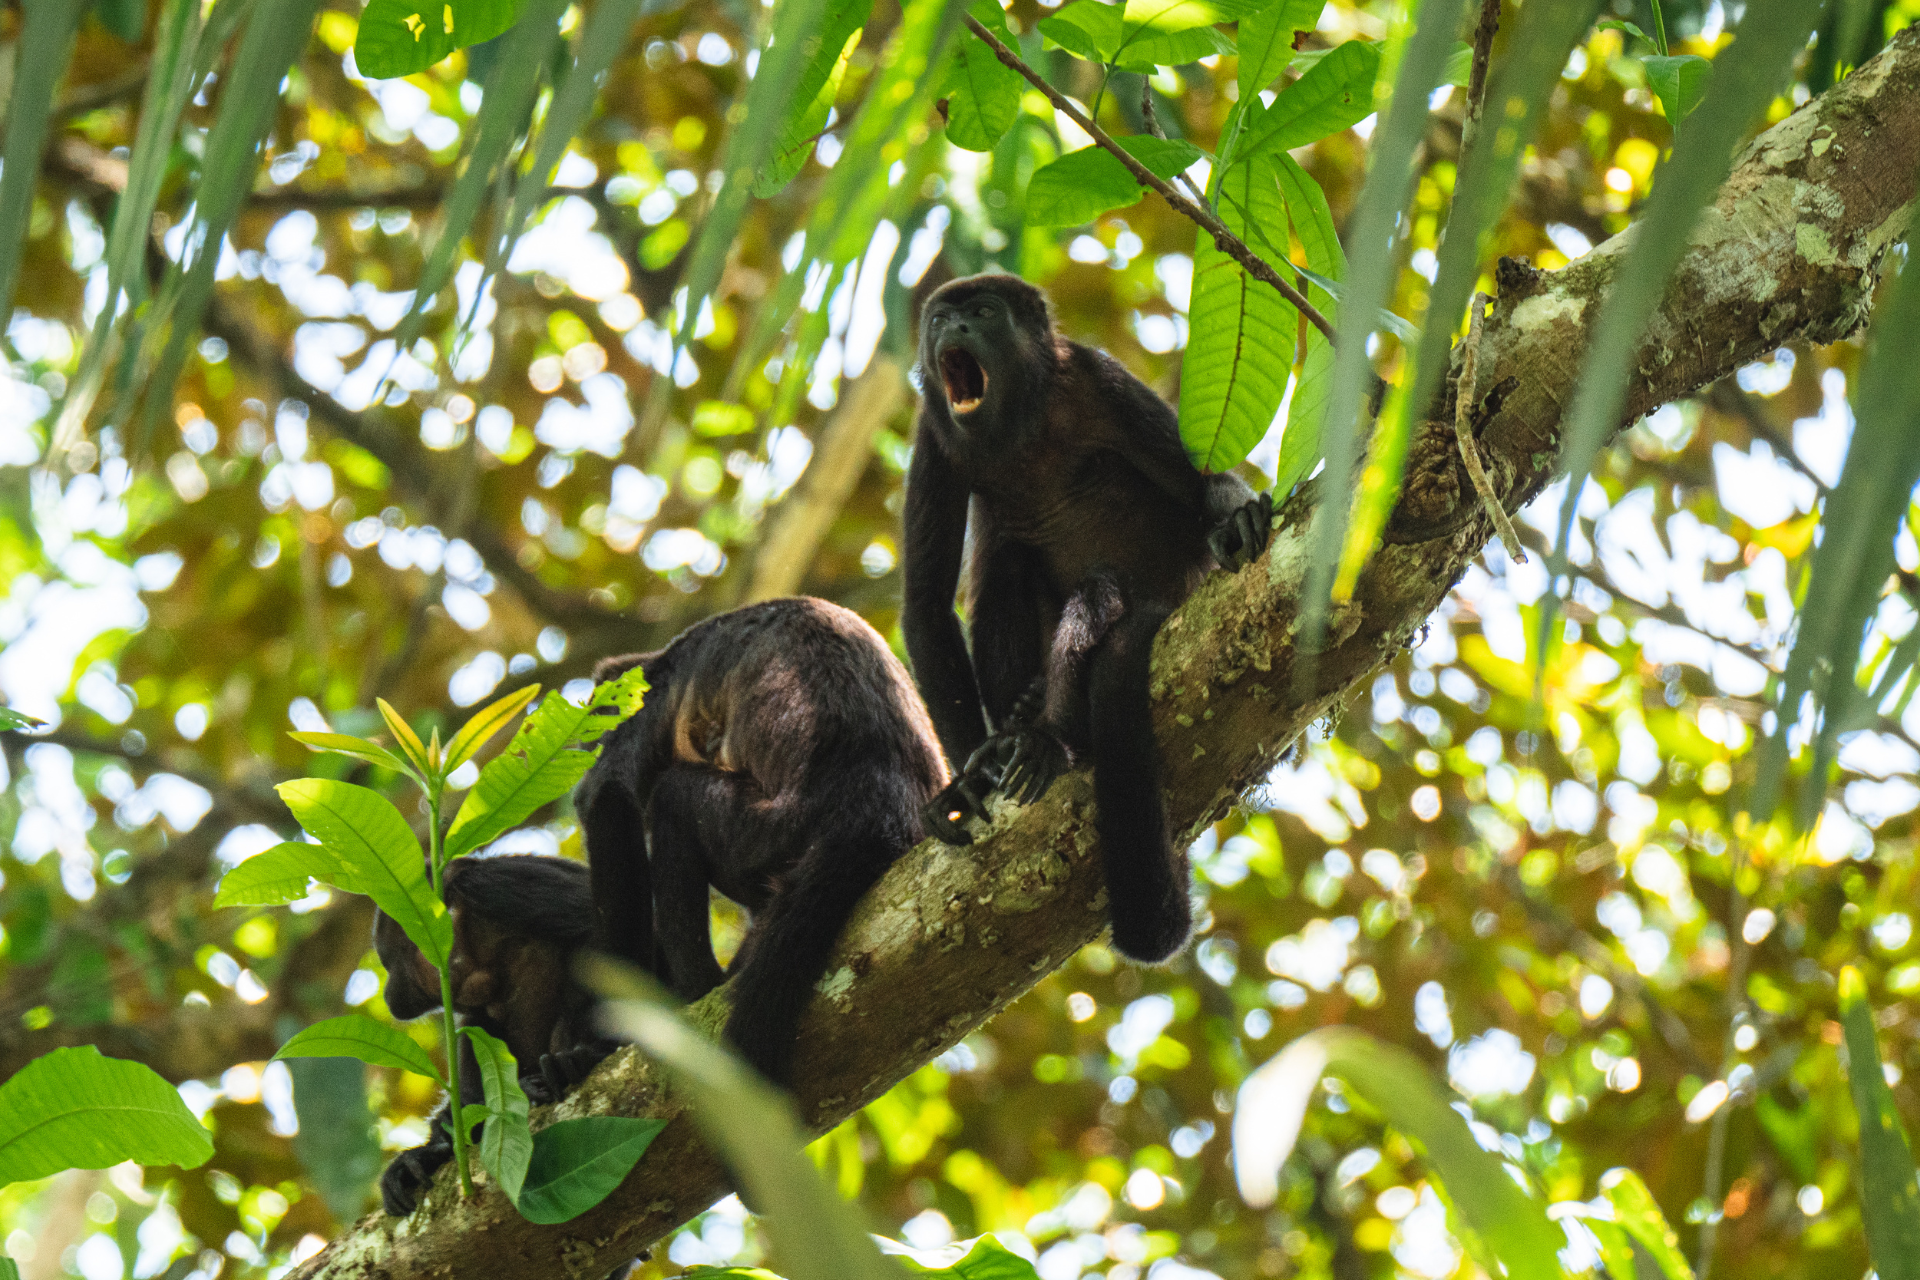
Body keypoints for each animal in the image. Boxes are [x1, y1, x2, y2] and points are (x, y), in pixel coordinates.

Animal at [576, 602, 952, 1090]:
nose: (582, 743)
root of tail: (877, 808)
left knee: (673, 799)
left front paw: (603, 1037)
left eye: (593, 721)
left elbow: (607, 798)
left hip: (767, 832)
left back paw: (696, 990)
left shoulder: (639, 703)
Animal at [902, 276, 1274, 967]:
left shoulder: (1101, 379)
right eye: (939, 319)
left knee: (1098, 593)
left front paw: (1235, 516)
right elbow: (927, 607)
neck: (1018, 427)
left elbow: (1200, 480)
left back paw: (1053, 738)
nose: (954, 330)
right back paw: (1019, 718)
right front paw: (969, 781)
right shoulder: (933, 440)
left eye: (983, 313)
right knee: (1009, 563)